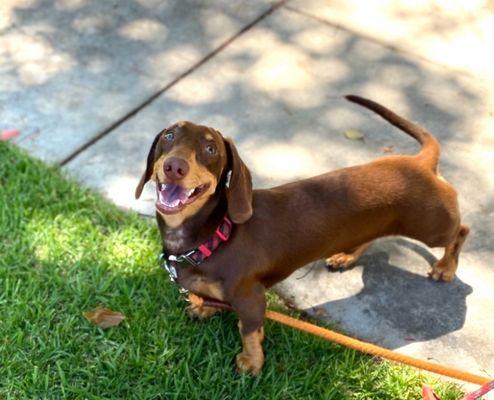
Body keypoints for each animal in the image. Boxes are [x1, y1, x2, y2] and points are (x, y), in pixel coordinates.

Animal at [135, 96, 470, 376]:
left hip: (433, 226)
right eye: (169, 136)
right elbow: (210, 300)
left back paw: (445, 267)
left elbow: (249, 332)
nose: (174, 166)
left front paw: (251, 363)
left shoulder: (252, 299)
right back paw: (347, 255)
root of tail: (419, 163)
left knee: (461, 231)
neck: (217, 236)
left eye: (210, 149)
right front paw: (204, 308)